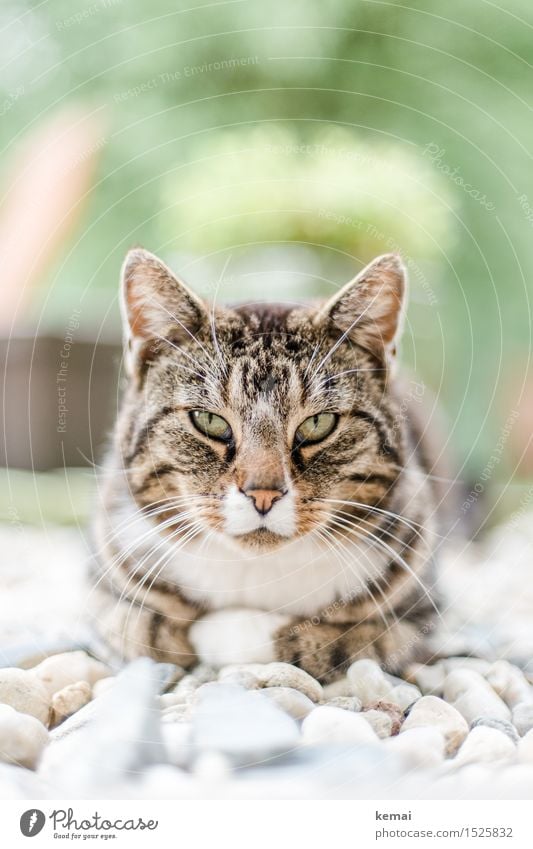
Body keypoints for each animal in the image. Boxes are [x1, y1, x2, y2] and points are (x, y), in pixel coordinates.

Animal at [89, 247, 442, 684]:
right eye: (209, 421)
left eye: (317, 424)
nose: (263, 494)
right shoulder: (103, 587)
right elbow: (140, 628)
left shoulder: (419, 615)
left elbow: (345, 641)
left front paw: (236, 630)